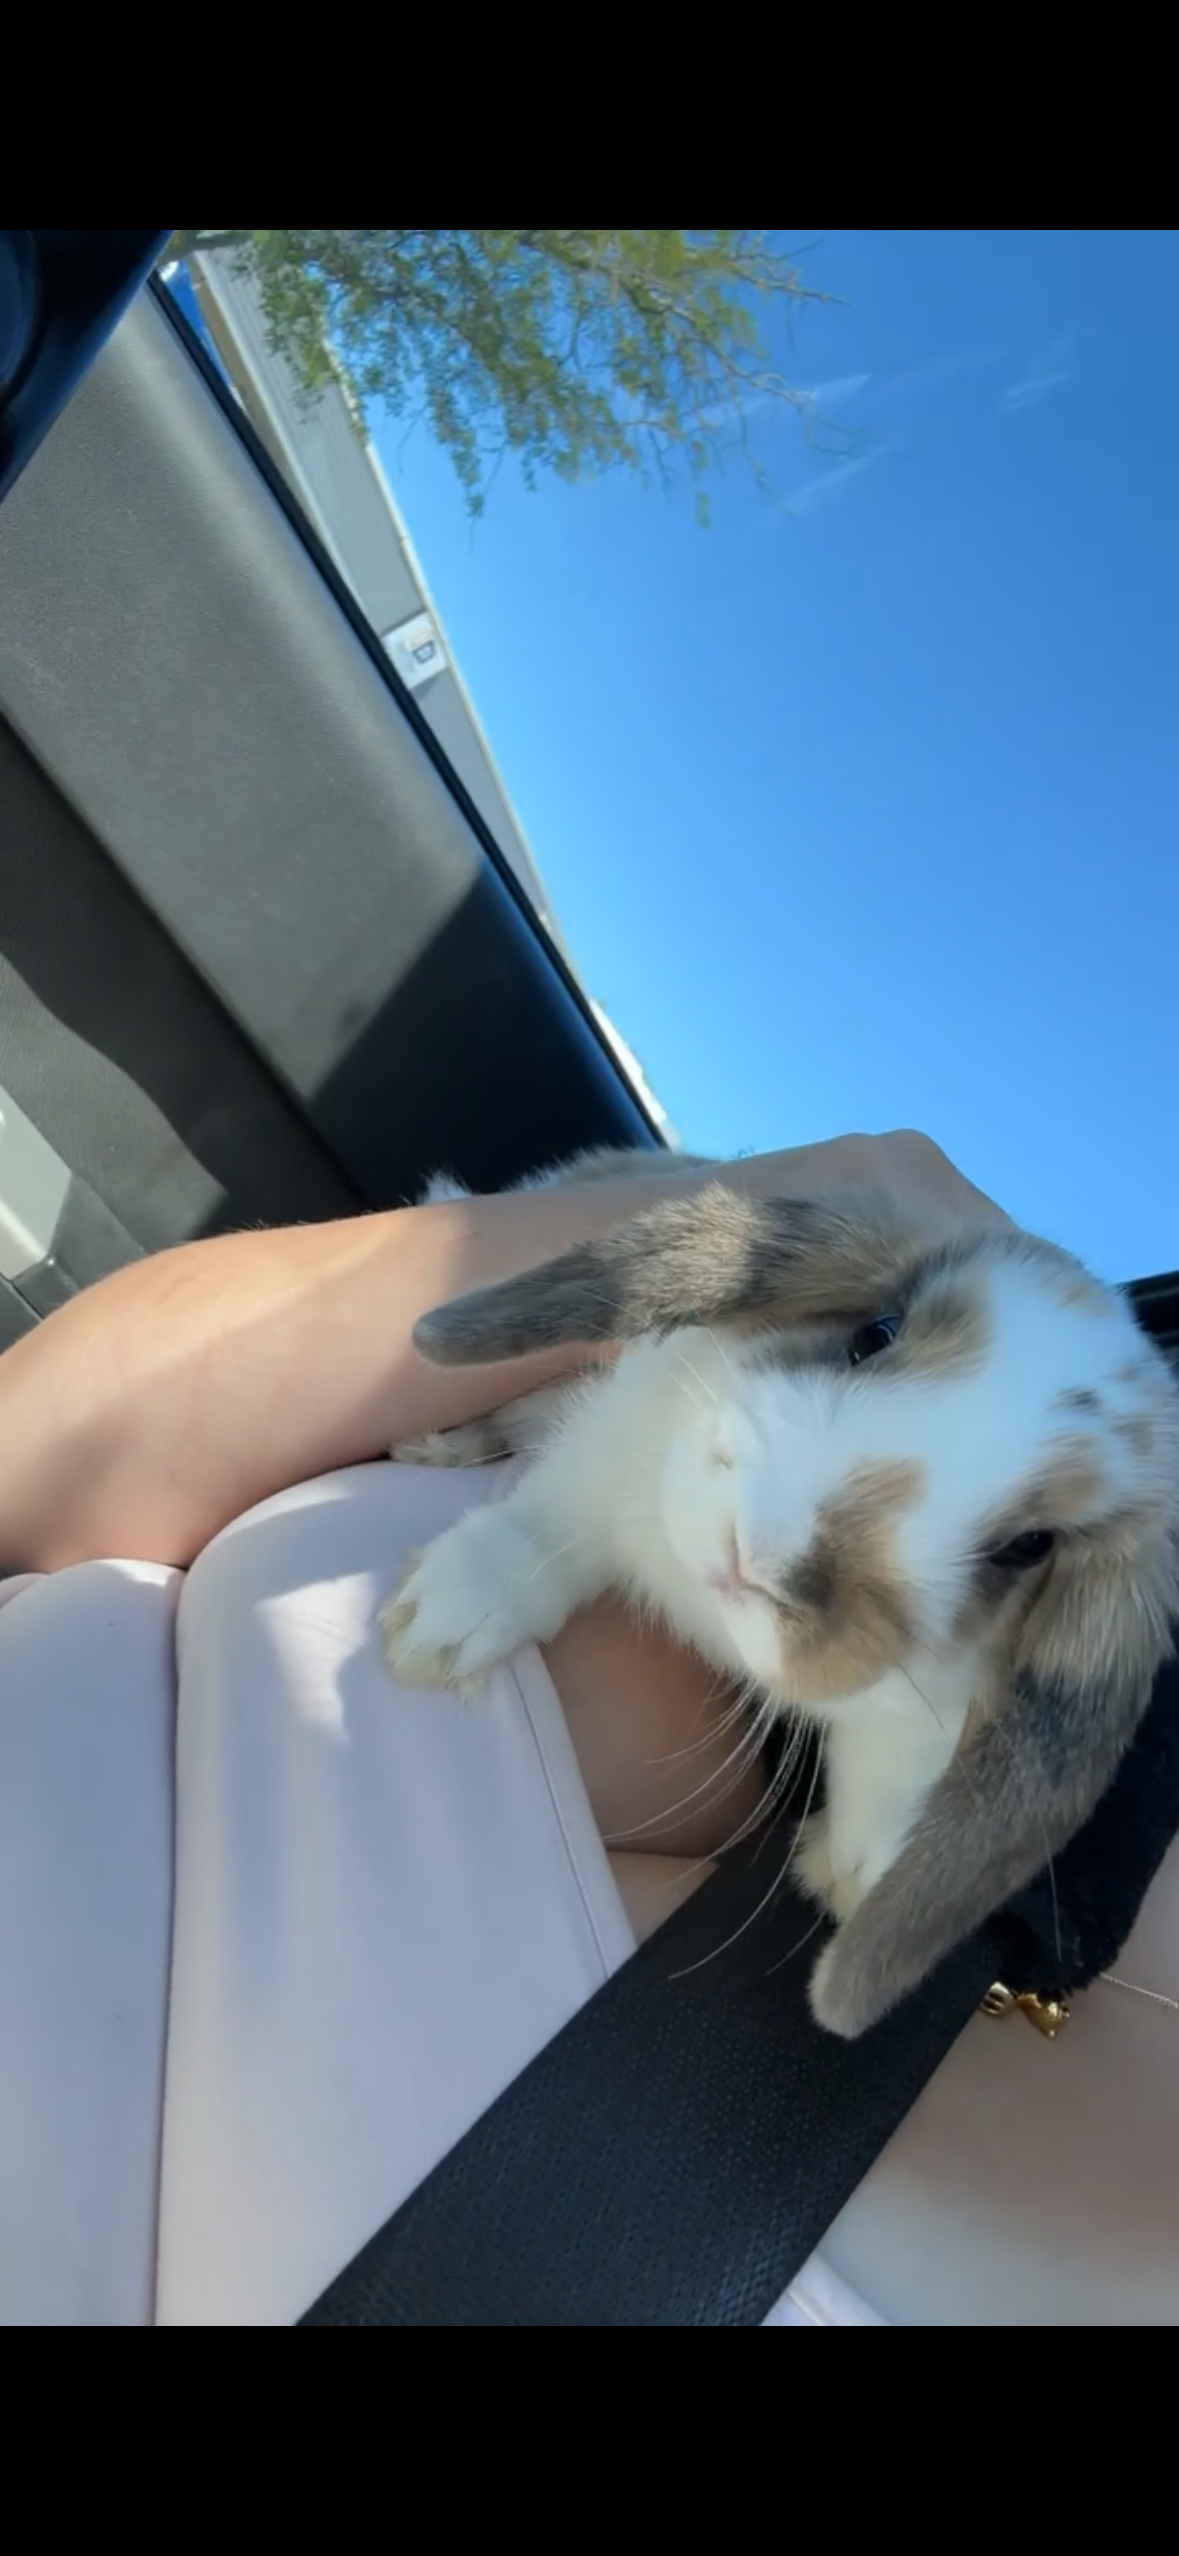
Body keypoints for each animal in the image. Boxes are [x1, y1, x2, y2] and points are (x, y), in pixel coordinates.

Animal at [380, 1166, 1179, 2039]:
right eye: (874, 1334)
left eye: (1028, 1546)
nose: (757, 1557)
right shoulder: (618, 1441)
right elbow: (546, 1528)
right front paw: (440, 1625)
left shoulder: (931, 1711)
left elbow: (895, 1770)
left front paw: (851, 1875)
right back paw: (437, 1450)